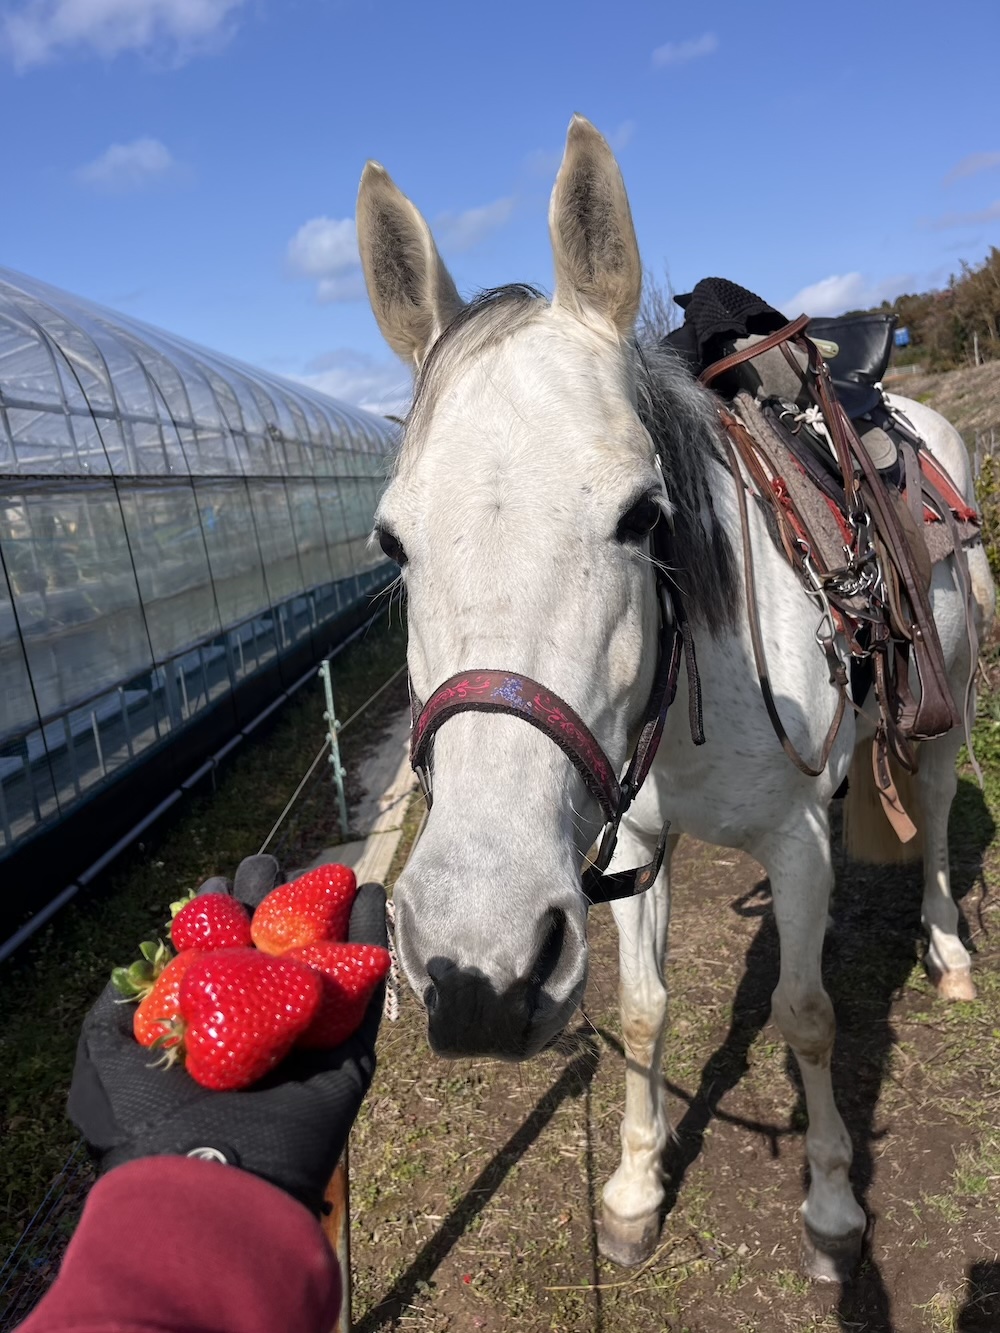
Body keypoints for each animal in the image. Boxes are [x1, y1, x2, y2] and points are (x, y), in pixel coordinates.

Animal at [354, 115, 995, 1282]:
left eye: (642, 515)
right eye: (392, 543)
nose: (478, 972)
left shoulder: (796, 841)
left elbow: (806, 1012)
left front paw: (832, 1205)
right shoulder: (635, 841)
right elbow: (647, 1012)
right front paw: (633, 1187)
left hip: (946, 709)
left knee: (927, 823)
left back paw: (950, 953)